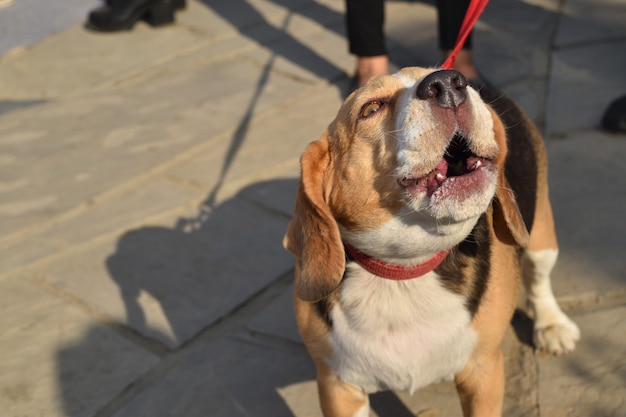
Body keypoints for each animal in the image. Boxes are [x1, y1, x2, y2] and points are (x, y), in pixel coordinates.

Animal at [280, 66, 576, 414]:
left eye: (446, 78)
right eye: (370, 108)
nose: (448, 82)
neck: (403, 271)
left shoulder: (483, 372)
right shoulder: (338, 387)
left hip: (541, 238)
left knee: (539, 280)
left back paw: (552, 326)